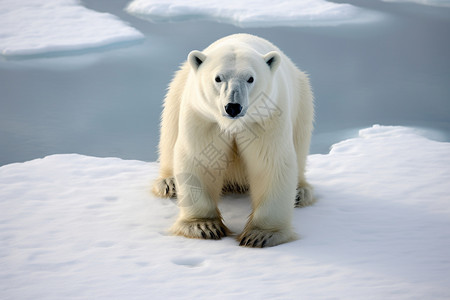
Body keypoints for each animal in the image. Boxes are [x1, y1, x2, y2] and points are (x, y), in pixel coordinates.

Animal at [153, 33, 314, 248]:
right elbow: (199, 159)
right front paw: (203, 226)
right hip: (178, 89)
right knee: (169, 128)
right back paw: (169, 183)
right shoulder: (204, 118)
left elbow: (270, 162)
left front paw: (261, 235)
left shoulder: (267, 118)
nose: (233, 106)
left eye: (250, 78)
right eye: (218, 78)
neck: (233, 124)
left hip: (302, 99)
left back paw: (300, 192)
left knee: (301, 142)